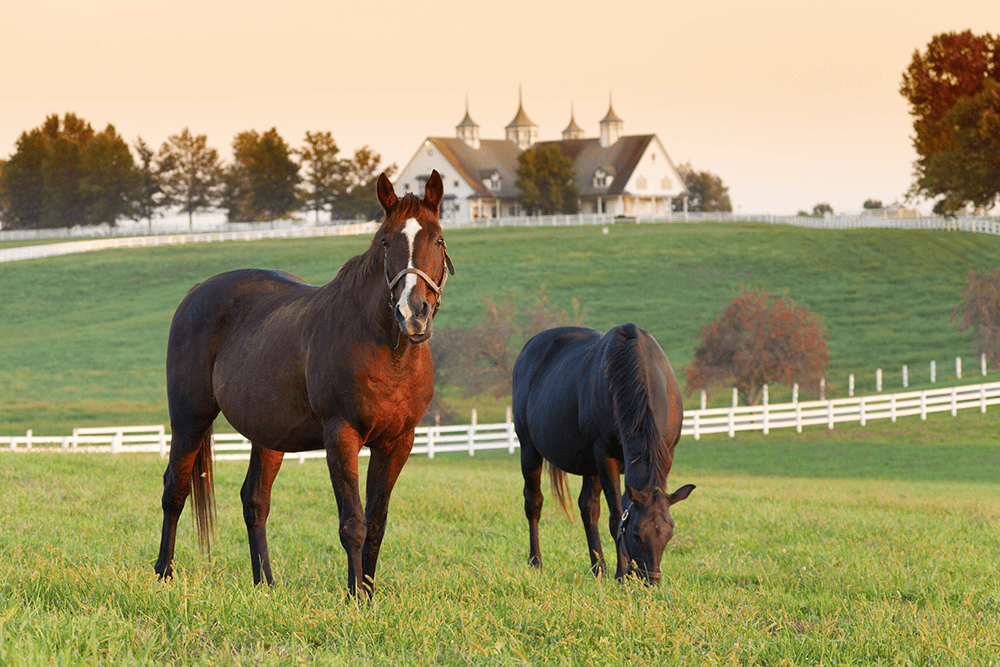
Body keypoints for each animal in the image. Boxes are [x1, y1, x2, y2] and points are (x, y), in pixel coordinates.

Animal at [153, 170, 455, 597]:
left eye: (438, 240)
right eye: (386, 241)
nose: (413, 313)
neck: (387, 351)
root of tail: (195, 293)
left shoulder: (398, 442)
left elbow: (376, 522)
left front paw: (368, 593)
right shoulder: (341, 435)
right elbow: (353, 523)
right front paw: (355, 598)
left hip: (267, 434)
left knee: (255, 501)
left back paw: (265, 583)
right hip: (189, 421)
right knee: (175, 490)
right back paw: (164, 572)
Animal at [511, 323, 695, 584]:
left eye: (669, 533)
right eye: (636, 534)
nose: (651, 581)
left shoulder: (664, 456)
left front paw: (617, 571)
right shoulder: (605, 458)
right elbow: (616, 517)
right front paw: (621, 574)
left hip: (589, 465)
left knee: (588, 509)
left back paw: (598, 569)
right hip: (530, 449)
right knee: (533, 503)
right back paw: (536, 562)